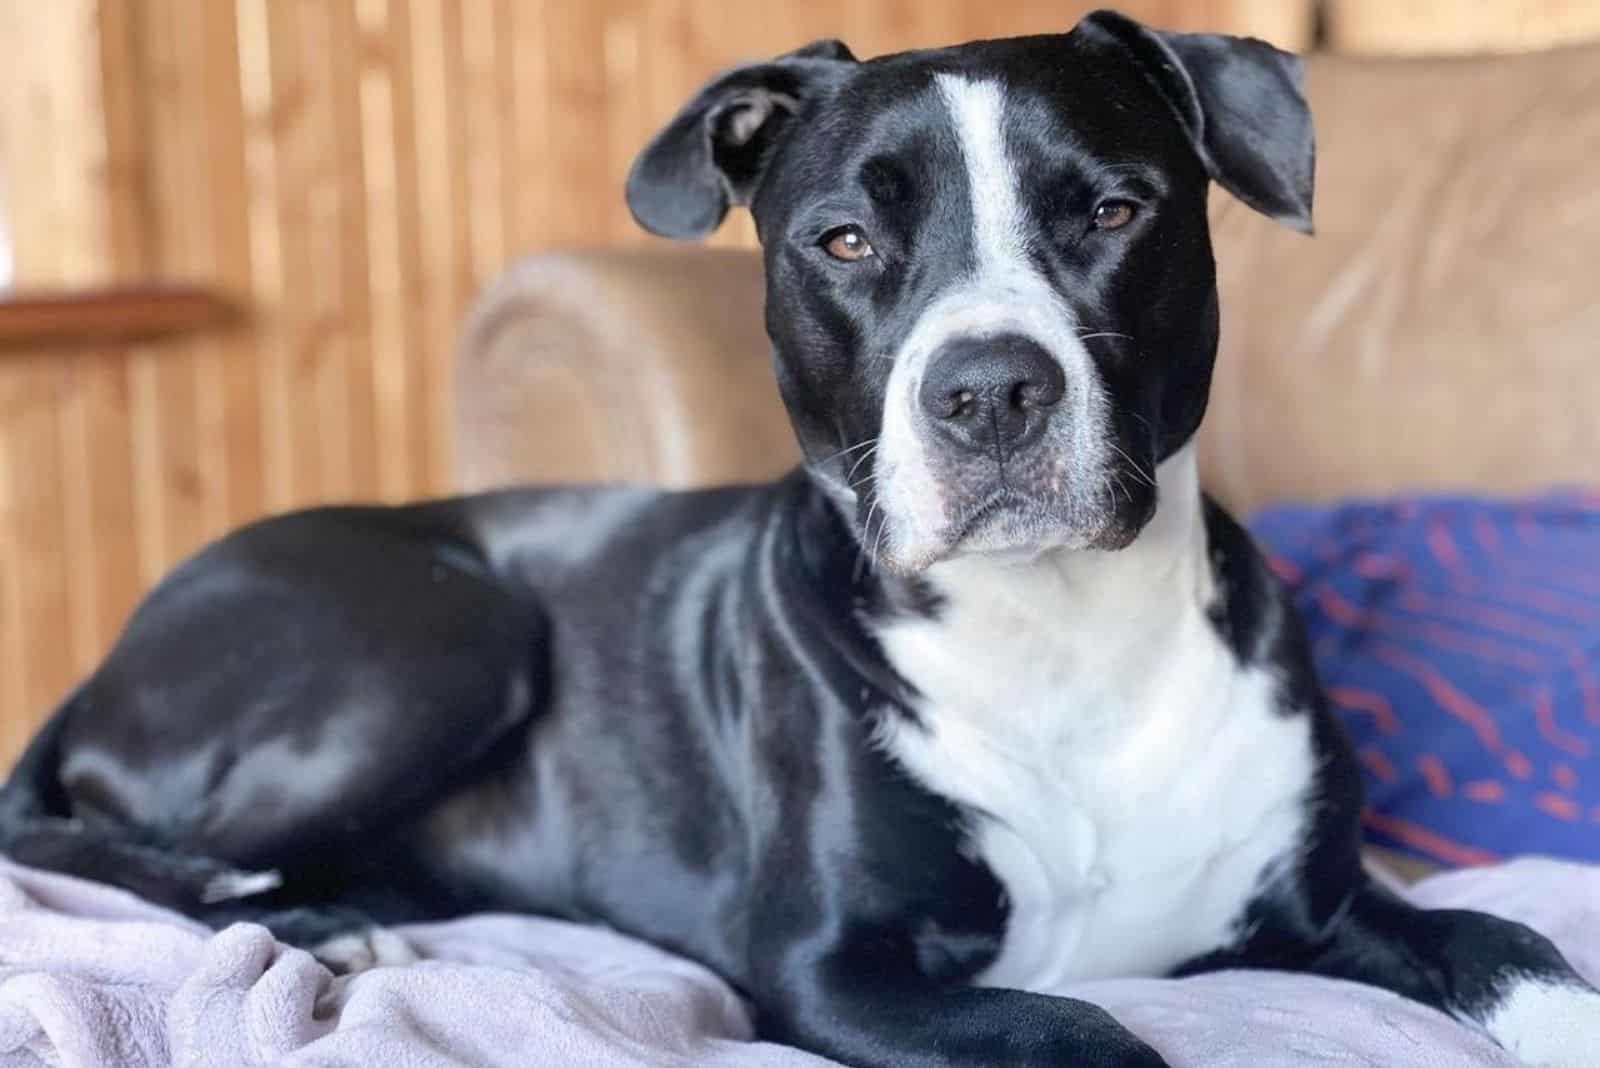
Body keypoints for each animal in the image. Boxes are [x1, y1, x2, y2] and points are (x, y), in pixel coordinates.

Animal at [3, 10, 1600, 1068]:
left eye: (1112, 210)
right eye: (842, 239)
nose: (991, 391)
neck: (1058, 635)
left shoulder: (1328, 909)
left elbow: (1512, 944)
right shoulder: (834, 972)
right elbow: (1090, 1033)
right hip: (437, 641)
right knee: (104, 840)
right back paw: (308, 921)